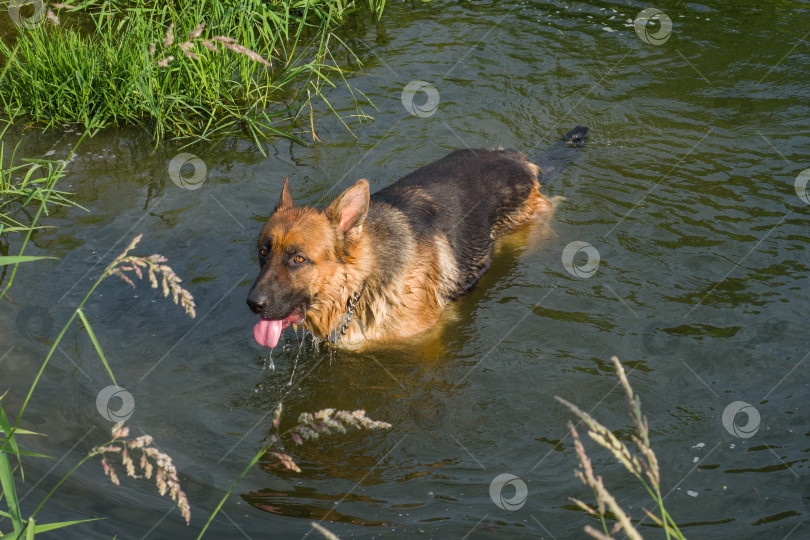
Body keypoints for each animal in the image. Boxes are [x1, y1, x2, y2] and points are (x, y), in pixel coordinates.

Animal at [246, 129, 588, 352]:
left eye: (298, 258)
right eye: (263, 252)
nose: (252, 304)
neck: (362, 283)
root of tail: (518, 161)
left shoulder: (426, 344)